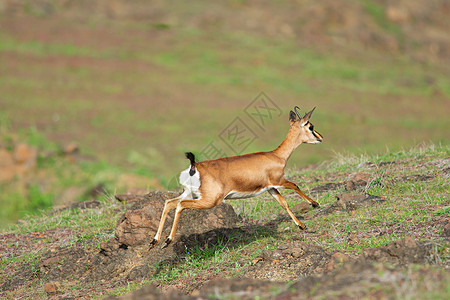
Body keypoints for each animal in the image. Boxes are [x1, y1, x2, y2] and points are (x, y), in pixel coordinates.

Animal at [152, 106, 324, 247]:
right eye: (311, 126)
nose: (321, 138)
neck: (276, 156)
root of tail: (195, 166)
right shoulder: (279, 181)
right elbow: (295, 185)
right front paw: (315, 204)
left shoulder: (271, 188)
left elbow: (283, 203)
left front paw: (301, 225)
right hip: (209, 200)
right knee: (181, 205)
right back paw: (168, 241)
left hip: (190, 193)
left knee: (169, 203)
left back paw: (155, 241)